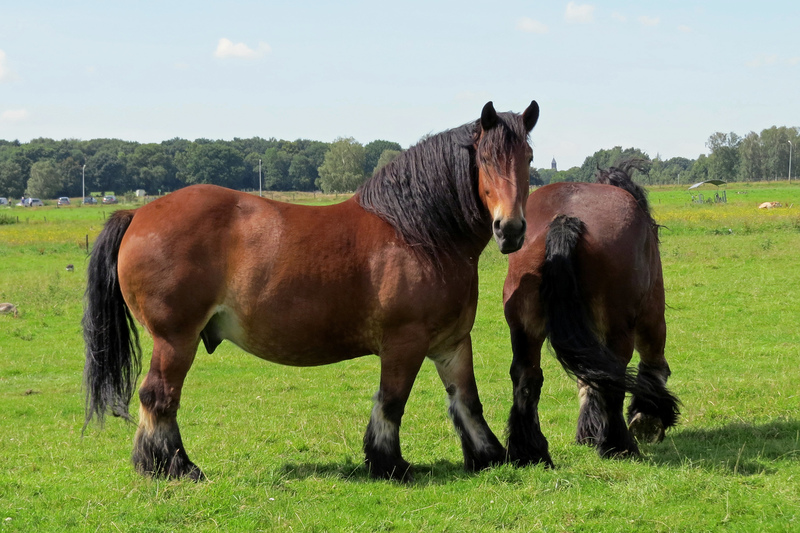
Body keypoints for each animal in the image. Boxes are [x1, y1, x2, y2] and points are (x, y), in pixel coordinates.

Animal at [83, 100, 540, 481]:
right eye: (485, 159)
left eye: (528, 159)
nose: (511, 229)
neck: (418, 234)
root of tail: (139, 212)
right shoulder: (403, 343)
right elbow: (392, 401)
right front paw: (389, 463)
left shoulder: (452, 343)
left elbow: (467, 401)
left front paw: (489, 456)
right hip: (175, 339)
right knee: (159, 396)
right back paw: (175, 467)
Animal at [502, 160, 679, 466]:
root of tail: (565, 220)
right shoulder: (652, 315)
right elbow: (654, 363)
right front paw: (649, 416)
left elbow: (587, 379)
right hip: (621, 329)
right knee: (612, 380)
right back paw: (618, 445)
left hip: (525, 330)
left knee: (527, 378)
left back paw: (529, 452)